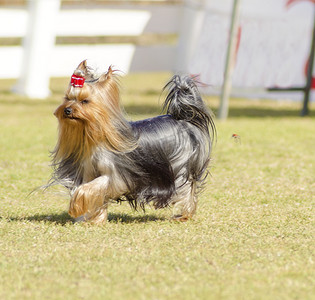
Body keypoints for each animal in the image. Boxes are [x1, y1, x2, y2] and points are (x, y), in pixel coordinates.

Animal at [50, 61, 217, 224]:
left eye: (85, 101)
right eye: (67, 98)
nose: (67, 110)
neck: (95, 136)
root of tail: (183, 118)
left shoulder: (116, 177)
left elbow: (90, 187)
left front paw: (75, 206)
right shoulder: (89, 171)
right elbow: (95, 195)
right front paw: (94, 220)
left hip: (180, 165)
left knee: (187, 188)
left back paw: (184, 215)